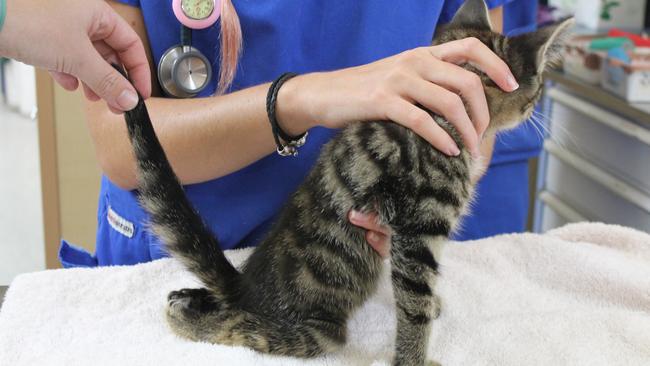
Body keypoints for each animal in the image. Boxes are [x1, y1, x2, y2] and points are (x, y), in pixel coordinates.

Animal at [120, 1, 568, 364]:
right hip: (319, 331)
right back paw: (187, 318)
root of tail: (249, 285)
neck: (441, 114)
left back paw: (190, 297)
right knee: (240, 327)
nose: (536, 108)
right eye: (536, 90)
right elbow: (415, 305)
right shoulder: (419, 227)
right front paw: (414, 358)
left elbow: (426, 292)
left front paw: (436, 303)